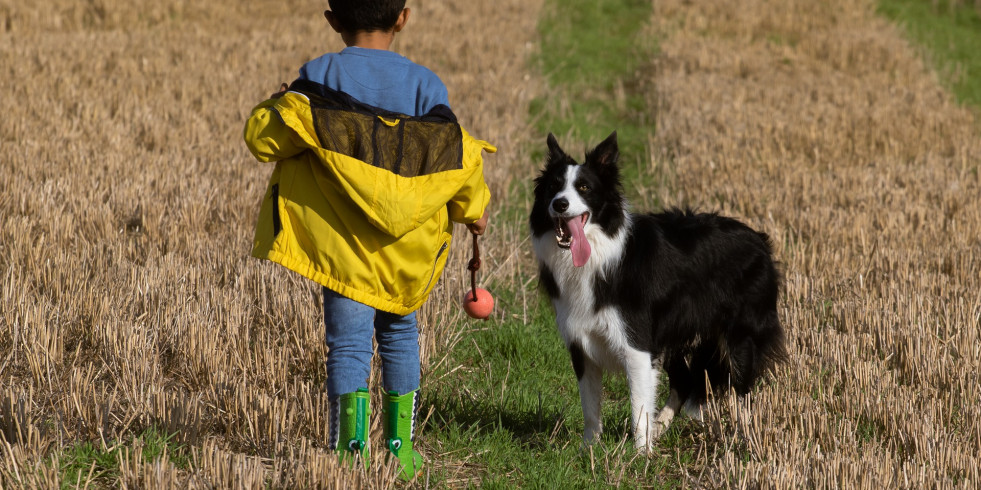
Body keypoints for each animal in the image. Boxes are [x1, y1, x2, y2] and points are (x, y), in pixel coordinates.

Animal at [528, 131, 788, 452]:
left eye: (584, 187)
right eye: (553, 186)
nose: (560, 204)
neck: (600, 253)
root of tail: (761, 240)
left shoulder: (637, 345)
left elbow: (638, 407)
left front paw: (640, 455)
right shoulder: (581, 343)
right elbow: (590, 408)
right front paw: (588, 450)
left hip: (740, 336)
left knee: (741, 391)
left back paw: (745, 440)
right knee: (685, 381)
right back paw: (663, 426)